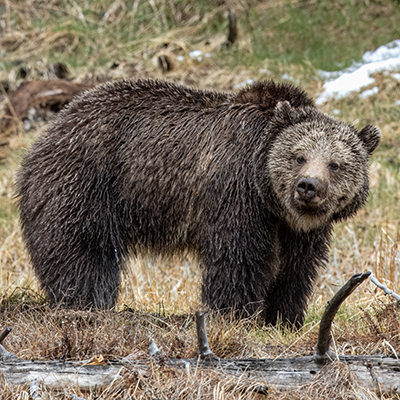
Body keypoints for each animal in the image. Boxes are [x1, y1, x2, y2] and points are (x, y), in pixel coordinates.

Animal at [17, 79, 382, 326]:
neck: (271, 199)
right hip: (85, 186)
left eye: (335, 164)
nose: (308, 186)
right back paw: (85, 305)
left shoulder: (299, 230)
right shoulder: (236, 193)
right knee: (82, 255)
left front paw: (283, 317)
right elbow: (238, 257)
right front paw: (233, 314)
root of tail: (46, 134)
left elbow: (295, 268)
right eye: (299, 156)